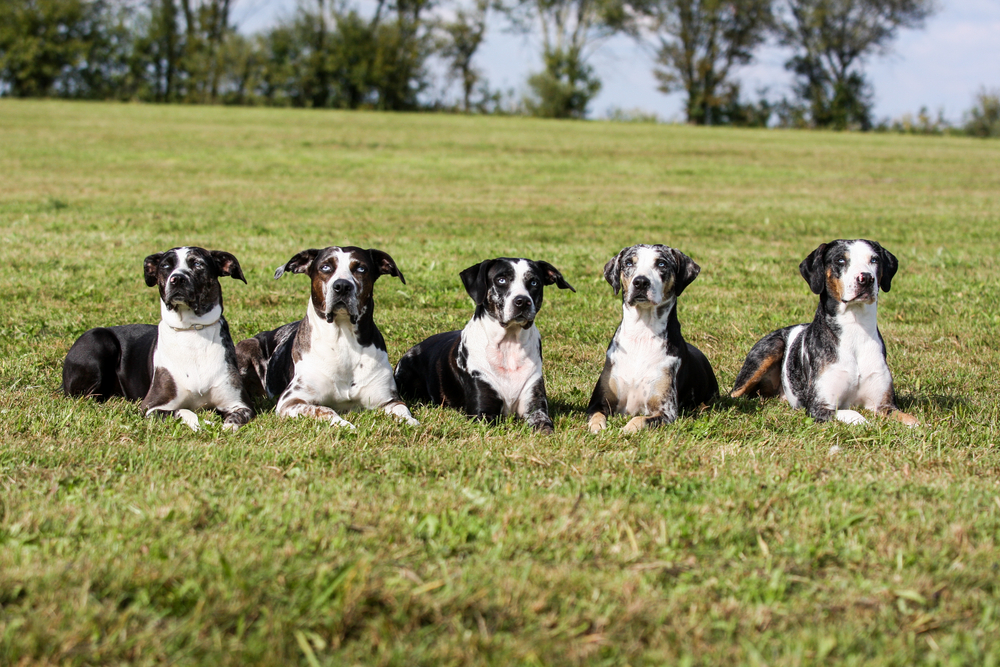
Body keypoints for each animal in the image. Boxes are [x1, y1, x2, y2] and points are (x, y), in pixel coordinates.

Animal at [61, 247, 254, 434]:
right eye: (166, 266)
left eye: (198, 264)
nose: (177, 279)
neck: (191, 330)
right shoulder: (152, 407)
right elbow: (184, 411)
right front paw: (202, 423)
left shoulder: (240, 405)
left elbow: (236, 419)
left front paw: (226, 426)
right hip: (98, 339)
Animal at [236, 245, 416, 428]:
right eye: (325, 267)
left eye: (361, 269)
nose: (342, 286)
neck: (343, 339)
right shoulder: (291, 401)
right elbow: (324, 410)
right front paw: (344, 424)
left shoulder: (389, 399)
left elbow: (403, 412)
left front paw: (411, 421)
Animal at [392, 256, 576, 434]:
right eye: (501, 280)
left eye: (534, 282)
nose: (523, 301)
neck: (509, 345)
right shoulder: (483, 413)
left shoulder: (535, 406)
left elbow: (544, 425)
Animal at [584, 244, 720, 434]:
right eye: (628, 262)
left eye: (662, 263)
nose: (641, 282)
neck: (641, 335)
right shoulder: (597, 402)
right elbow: (596, 416)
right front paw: (597, 428)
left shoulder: (665, 411)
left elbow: (639, 420)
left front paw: (625, 429)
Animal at [732, 241, 916, 428]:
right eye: (840, 260)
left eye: (874, 259)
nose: (866, 278)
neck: (855, 328)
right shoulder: (819, 407)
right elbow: (855, 415)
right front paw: (867, 423)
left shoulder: (885, 405)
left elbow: (912, 420)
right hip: (770, 350)